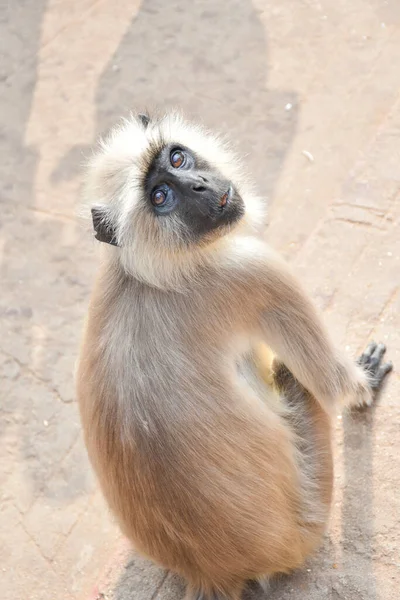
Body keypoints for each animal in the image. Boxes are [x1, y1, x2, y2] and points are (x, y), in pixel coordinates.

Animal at [76, 110, 394, 596]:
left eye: (178, 158)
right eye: (161, 196)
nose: (198, 186)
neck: (151, 270)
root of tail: (214, 571)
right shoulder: (251, 269)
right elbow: (334, 385)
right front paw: (365, 382)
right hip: (313, 508)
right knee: (290, 374)